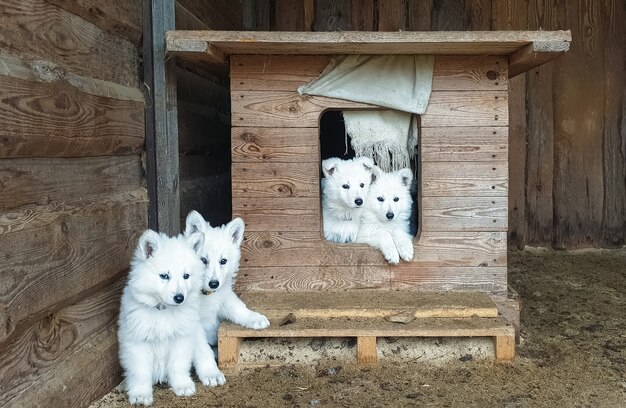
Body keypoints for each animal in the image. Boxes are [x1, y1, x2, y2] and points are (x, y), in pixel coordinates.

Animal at [117, 230, 224, 404]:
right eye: (164, 276)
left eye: (186, 276)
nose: (179, 298)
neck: (164, 311)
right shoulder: (138, 342)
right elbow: (140, 372)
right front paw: (141, 394)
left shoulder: (182, 339)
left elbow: (178, 365)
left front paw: (182, 385)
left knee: (205, 352)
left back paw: (211, 374)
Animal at [182, 210, 266, 348]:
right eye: (203, 260)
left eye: (223, 261)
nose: (214, 284)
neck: (206, 294)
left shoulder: (226, 298)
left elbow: (239, 309)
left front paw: (255, 318)